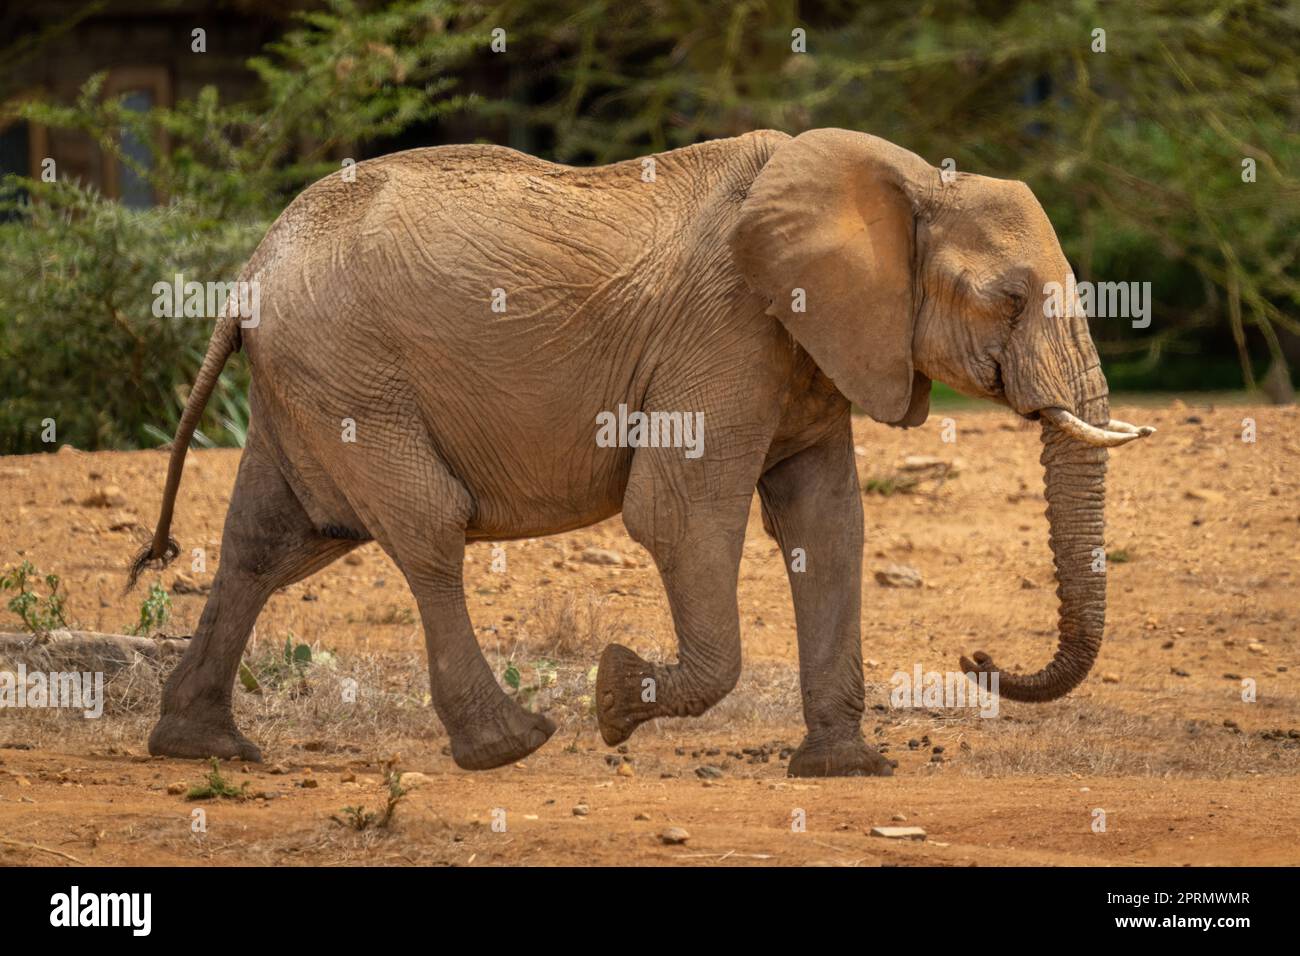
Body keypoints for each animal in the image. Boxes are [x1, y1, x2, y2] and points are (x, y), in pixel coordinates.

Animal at [130, 127, 1152, 776]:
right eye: (1008, 300)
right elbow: (680, 516)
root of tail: (248, 273)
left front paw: (846, 770)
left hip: (310, 385)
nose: (979, 657)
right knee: (426, 530)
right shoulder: (726, 333)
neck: (906, 178)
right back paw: (512, 745)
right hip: (354, 379)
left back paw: (204, 749)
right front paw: (617, 698)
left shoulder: (809, 349)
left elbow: (828, 527)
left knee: (271, 544)